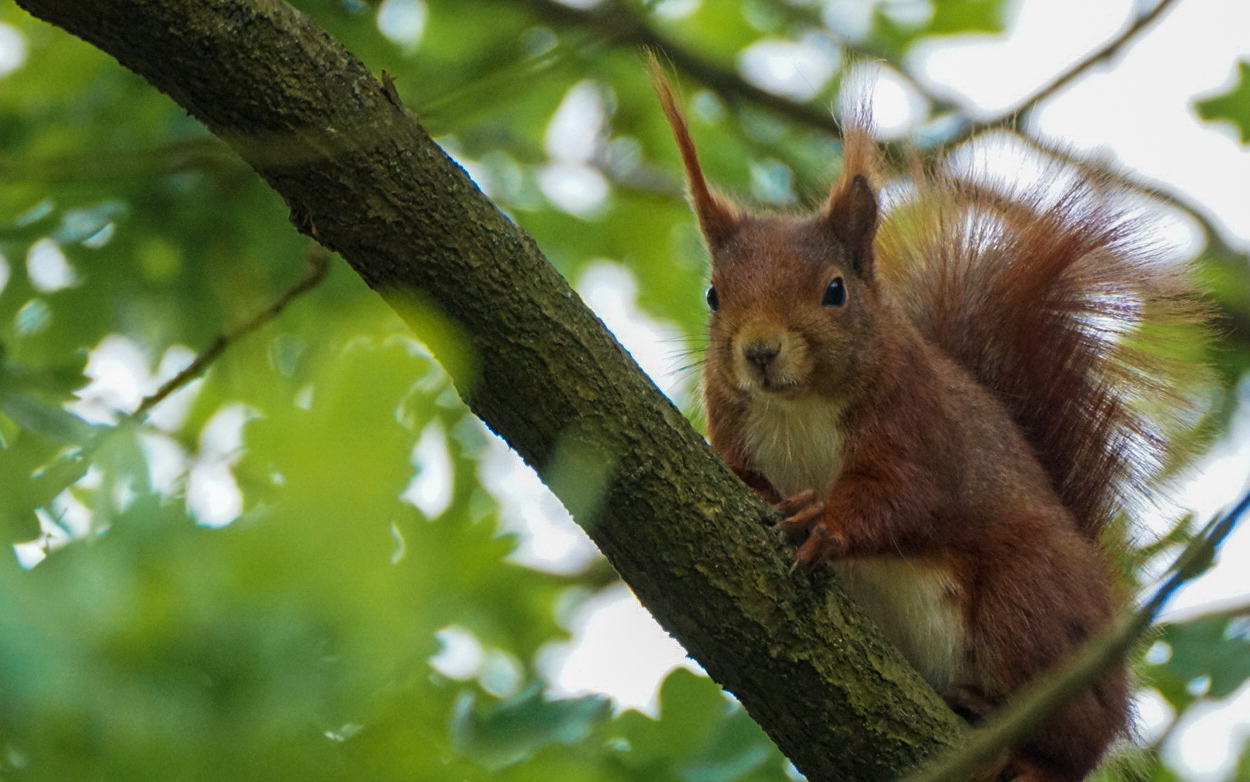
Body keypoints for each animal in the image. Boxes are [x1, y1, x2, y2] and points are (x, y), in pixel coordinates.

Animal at [655, 65, 1210, 779]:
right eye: (713, 295)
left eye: (835, 290)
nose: (760, 351)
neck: (798, 408)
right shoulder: (733, 431)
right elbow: (738, 476)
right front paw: (776, 500)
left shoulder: (920, 423)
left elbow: (910, 496)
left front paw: (822, 519)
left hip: (1025, 602)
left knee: (1072, 741)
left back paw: (1027, 749)